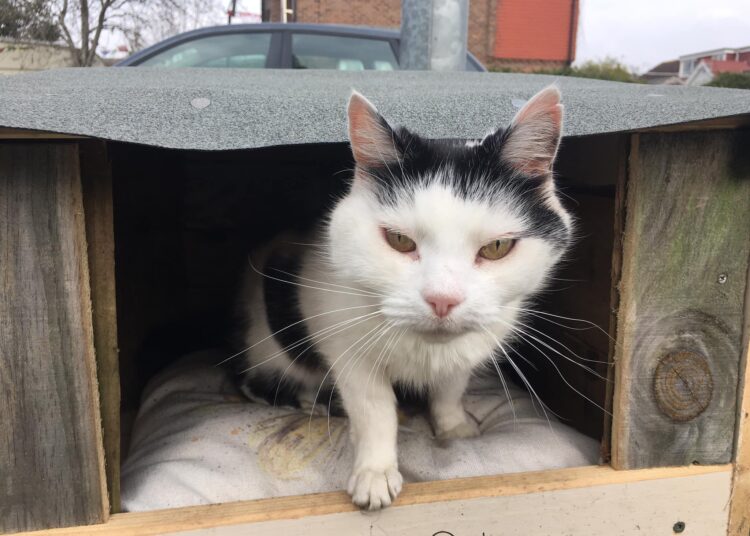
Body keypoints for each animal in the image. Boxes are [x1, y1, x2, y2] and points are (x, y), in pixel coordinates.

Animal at [238, 87, 572, 510]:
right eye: (399, 240)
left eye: (497, 247)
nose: (442, 299)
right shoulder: (346, 347)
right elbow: (375, 410)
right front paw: (375, 473)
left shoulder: (470, 348)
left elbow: (450, 387)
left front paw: (453, 426)